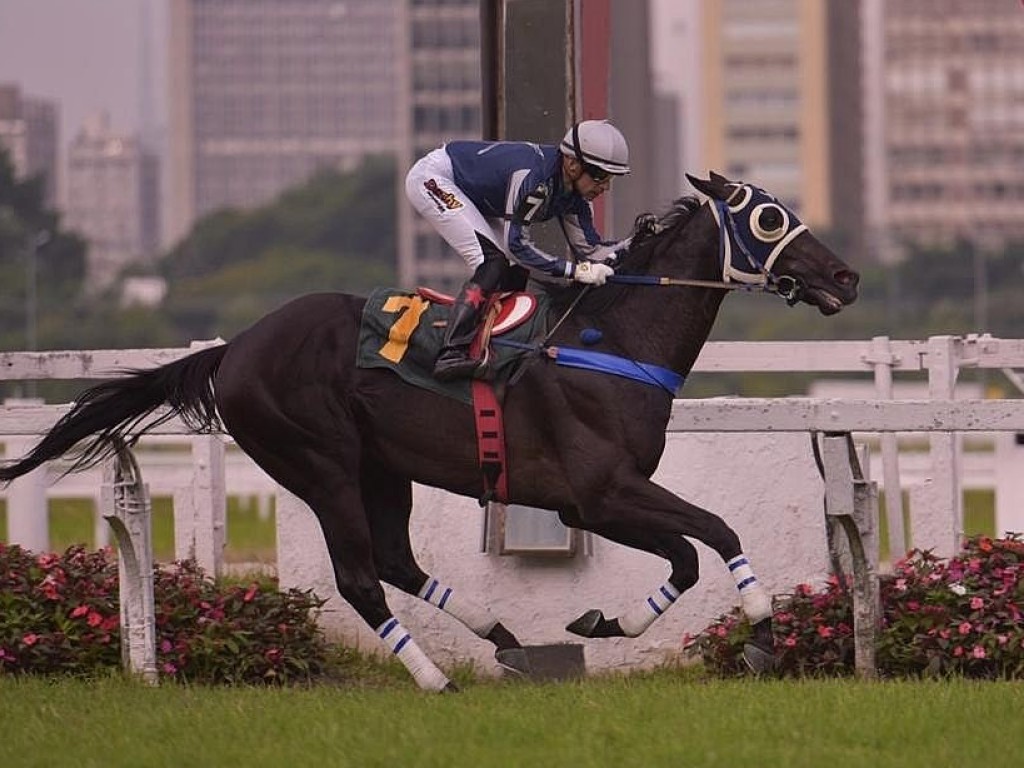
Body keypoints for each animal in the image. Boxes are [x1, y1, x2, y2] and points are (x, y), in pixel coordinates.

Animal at [0, 173, 856, 692]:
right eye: (769, 216)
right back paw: (434, 678)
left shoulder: (600, 499)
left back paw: (501, 637)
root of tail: (232, 348)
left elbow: (688, 553)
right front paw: (760, 636)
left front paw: (602, 620)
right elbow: (710, 535)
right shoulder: (600, 493)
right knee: (359, 577)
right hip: (322, 465)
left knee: (396, 562)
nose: (846, 276)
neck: (610, 340)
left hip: (385, 469)